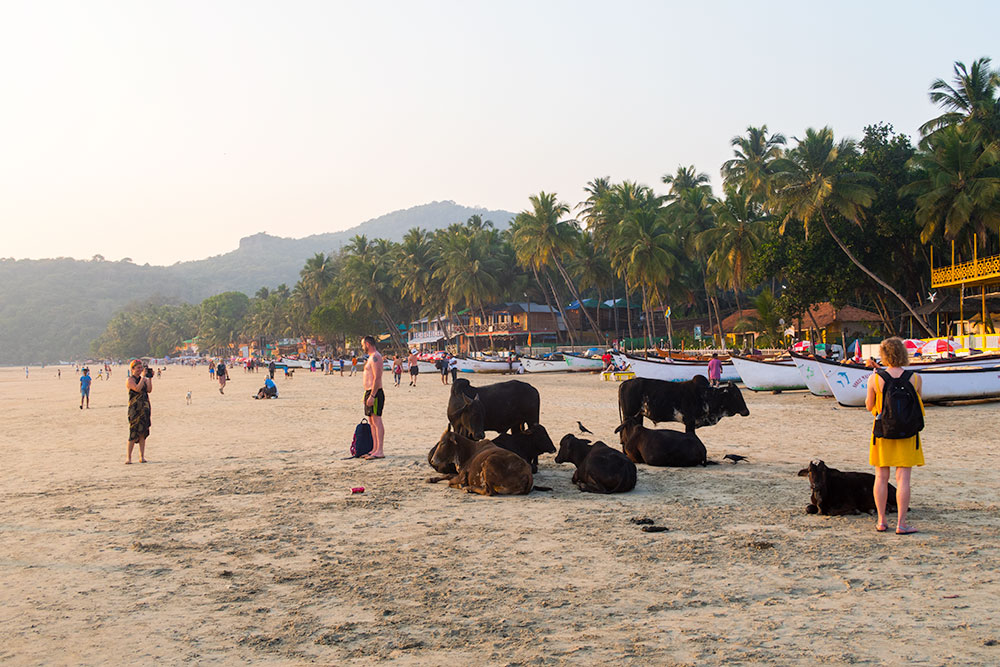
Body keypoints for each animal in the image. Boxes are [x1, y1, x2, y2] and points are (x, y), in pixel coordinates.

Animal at [616, 376, 752, 434]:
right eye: (736, 395)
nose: (747, 411)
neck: (707, 396)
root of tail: (624, 383)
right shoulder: (689, 422)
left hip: (638, 416)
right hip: (629, 416)